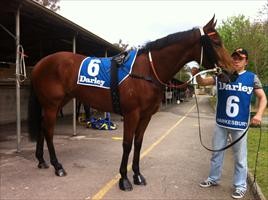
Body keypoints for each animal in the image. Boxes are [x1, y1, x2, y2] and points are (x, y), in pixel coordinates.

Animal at [27, 16, 234, 191]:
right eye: (216, 42)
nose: (232, 72)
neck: (146, 70)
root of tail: (40, 64)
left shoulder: (145, 116)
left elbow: (138, 143)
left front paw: (137, 175)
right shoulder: (131, 114)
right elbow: (127, 144)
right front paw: (124, 179)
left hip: (58, 103)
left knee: (42, 127)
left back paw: (42, 161)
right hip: (52, 104)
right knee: (49, 131)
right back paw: (57, 166)